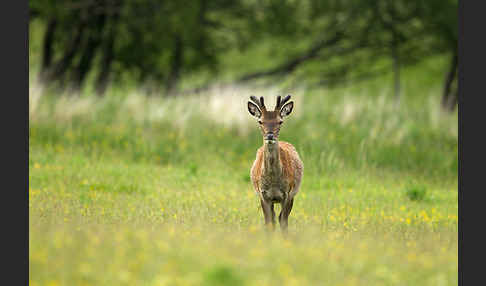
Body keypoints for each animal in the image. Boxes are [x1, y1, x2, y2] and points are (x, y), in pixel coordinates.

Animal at [249, 95, 302, 233]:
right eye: (260, 121)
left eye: (280, 121)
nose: (270, 135)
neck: (273, 182)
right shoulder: (263, 194)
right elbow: (268, 222)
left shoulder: (288, 193)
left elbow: (283, 221)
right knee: (273, 219)